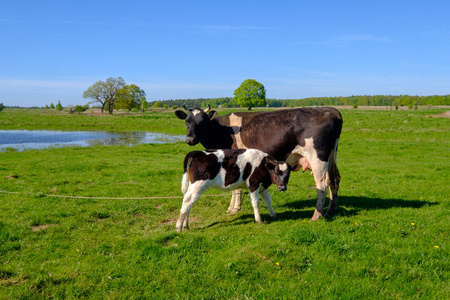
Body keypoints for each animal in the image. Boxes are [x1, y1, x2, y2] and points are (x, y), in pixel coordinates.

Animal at [174, 105, 342, 220]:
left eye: (202, 122)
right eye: (187, 121)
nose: (190, 139)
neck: (223, 131)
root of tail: (329, 110)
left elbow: (236, 189)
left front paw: (235, 208)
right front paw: (232, 207)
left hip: (318, 158)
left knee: (322, 184)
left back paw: (316, 215)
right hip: (331, 157)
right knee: (334, 180)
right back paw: (330, 211)